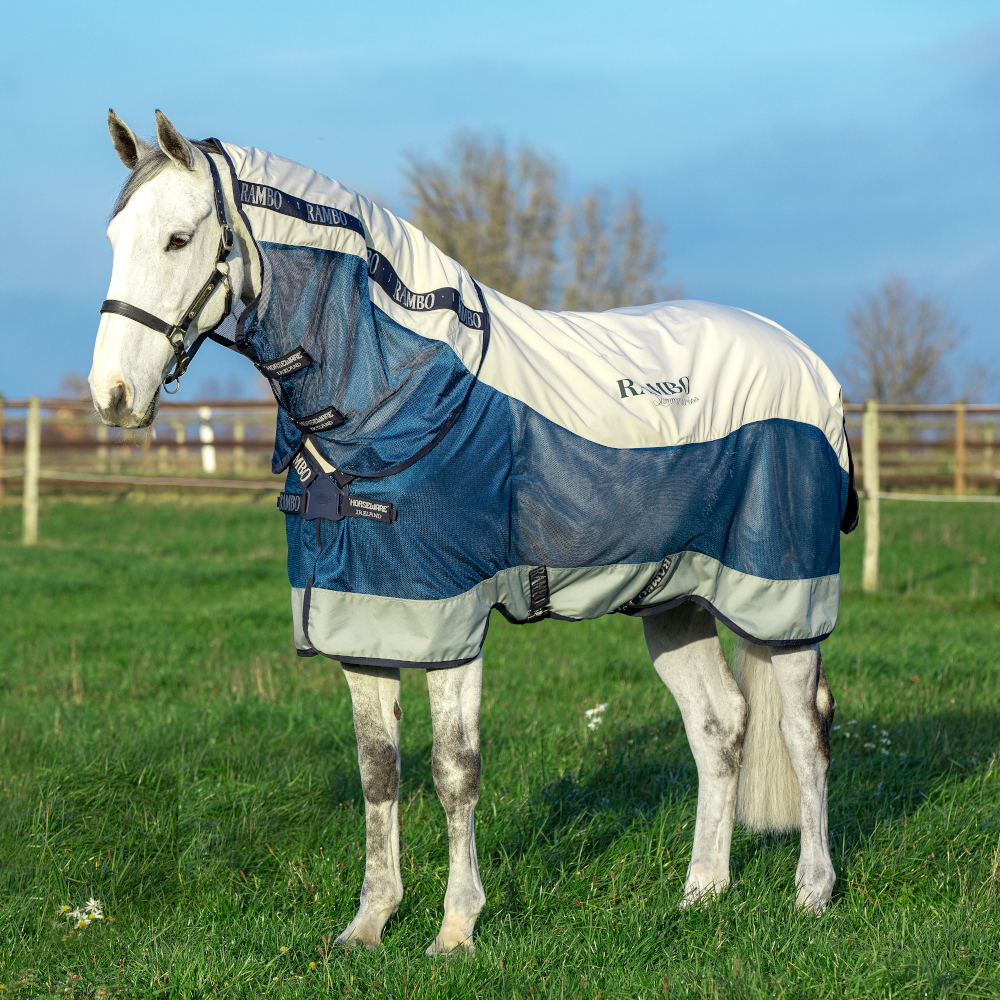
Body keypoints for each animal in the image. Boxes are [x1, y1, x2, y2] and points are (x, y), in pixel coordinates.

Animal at [90, 110, 856, 955]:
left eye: (178, 239)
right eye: (115, 235)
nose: (112, 396)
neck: (397, 395)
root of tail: (812, 368)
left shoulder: (449, 621)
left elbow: (454, 771)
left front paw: (456, 928)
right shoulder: (366, 620)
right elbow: (378, 771)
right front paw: (369, 922)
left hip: (781, 595)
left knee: (804, 729)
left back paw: (813, 893)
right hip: (674, 600)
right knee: (719, 728)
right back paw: (700, 893)